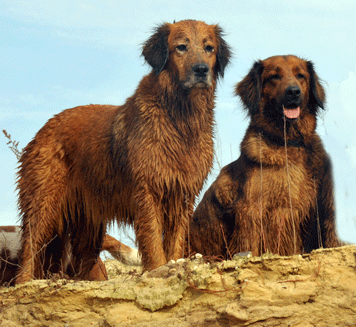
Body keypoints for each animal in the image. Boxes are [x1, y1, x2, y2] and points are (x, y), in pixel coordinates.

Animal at [15, 19, 231, 284]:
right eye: (181, 47)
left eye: (209, 48)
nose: (201, 70)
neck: (180, 118)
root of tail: (44, 128)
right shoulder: (147, 191)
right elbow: (152, 239)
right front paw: (158, 268)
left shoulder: (182, 194)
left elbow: (176, 241)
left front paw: (173, 265)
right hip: (44, 201)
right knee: (30, 246)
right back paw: (24, 282)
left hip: (88, 222)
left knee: (83, 260)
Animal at [189, 54, 342, 258]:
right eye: (274, 76)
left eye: (300, 75)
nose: (293, 92)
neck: (287, 143)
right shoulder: (252, 210)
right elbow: (250, 242)